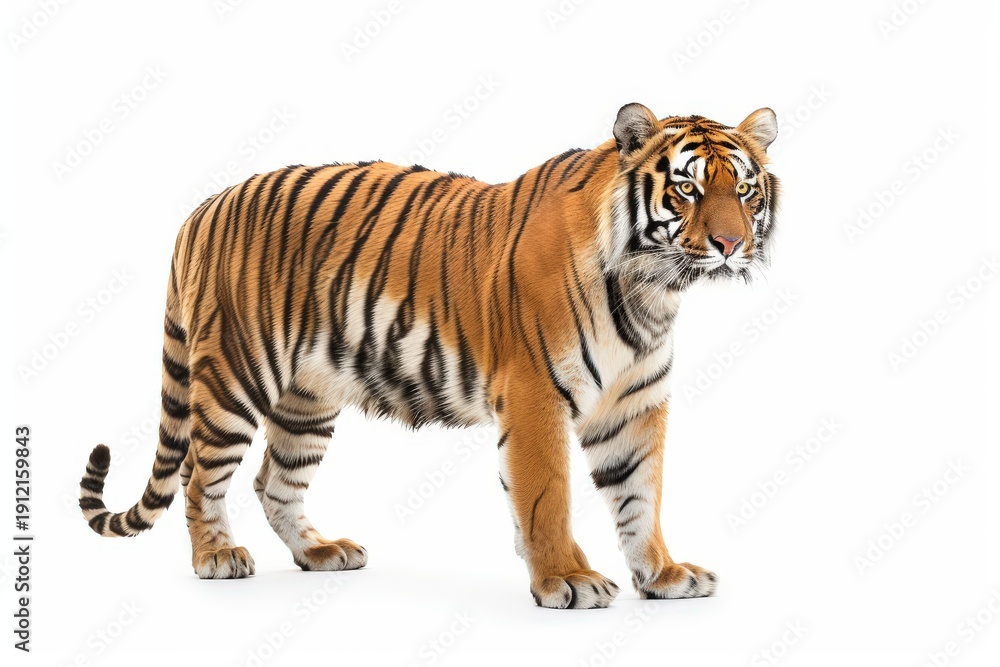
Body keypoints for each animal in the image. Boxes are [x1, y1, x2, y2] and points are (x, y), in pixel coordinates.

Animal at [78, 103, 779, 609]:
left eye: (745, 192)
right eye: (687, 190)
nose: (729, 244)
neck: (651, 291)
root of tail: (202, 208)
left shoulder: (633, 404)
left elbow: (641, 495)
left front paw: (663, 575)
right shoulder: (535, 395)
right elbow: (547, 495)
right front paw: (567, 579)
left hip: (309, 397)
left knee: (274, 481)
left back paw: (321, 553)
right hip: (236, 374)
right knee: (201, 476)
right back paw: (216, 558)